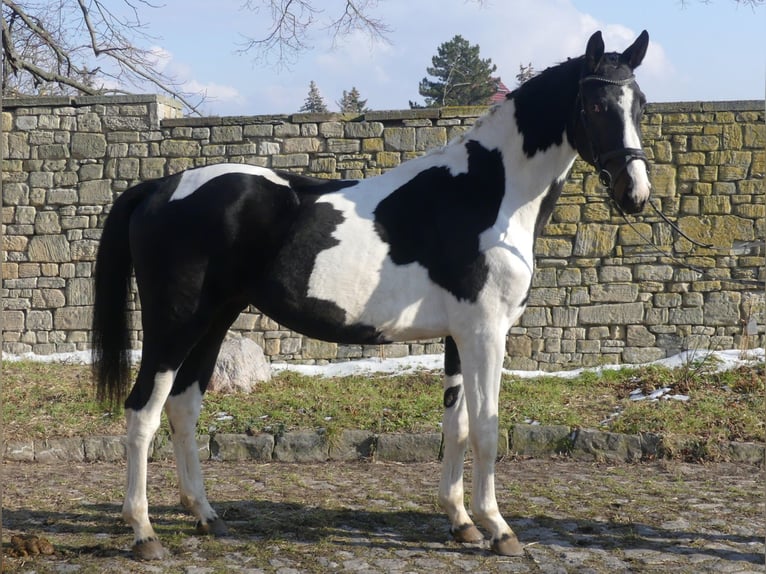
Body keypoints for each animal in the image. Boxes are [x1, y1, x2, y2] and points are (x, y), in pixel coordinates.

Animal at [91, 29, 656, 560]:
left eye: (640, 104)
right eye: (596, 105)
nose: (635, 193)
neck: (485, 195)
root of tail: (160, 187)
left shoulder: (458, 337)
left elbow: (457, 426)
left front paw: (462, 523)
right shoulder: (485, 333)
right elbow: (488, 429)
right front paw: (499, 529)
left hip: (216, 320)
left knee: (183, 408)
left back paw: (206, 515)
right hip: (175, 325)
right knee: (142, 412)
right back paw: (143, 532)